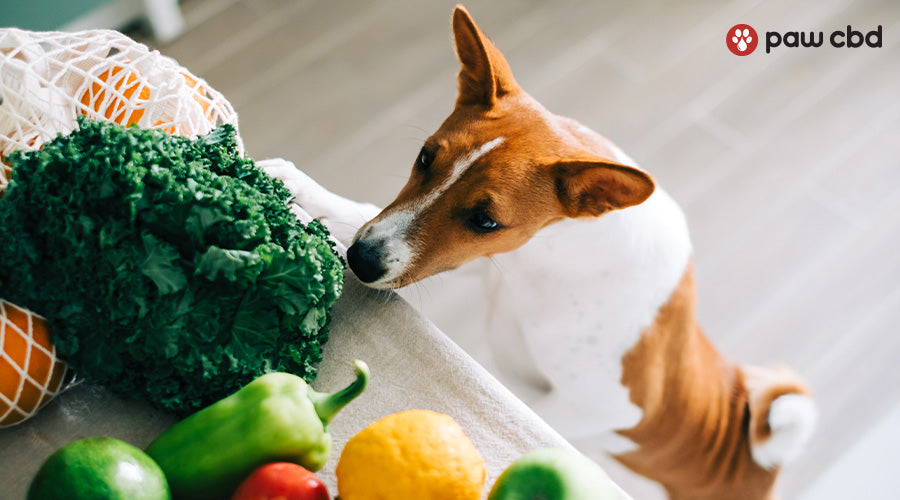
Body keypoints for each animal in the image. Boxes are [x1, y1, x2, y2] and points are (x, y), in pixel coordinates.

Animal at [258, 4, 816, 500]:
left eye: (486, 221)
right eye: (424, 157)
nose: (361, 261)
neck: (552, 262)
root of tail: (758, 463)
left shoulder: (608, 407)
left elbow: (529, 407)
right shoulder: (477, 264)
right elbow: (364, 211)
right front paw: (298, 186)